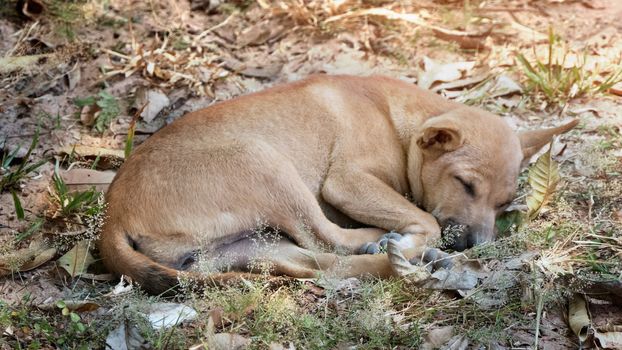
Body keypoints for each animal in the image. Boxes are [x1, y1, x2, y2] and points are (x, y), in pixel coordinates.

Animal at [98, 75, 580, 294]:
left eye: (504, 204)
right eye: (465, 184)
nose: (480, 246)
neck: (393, 117)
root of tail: (112, 217)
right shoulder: (347, 182)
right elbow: (426, 219)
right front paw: (411, 236)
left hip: (247, 246)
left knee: (321, 265)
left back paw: (401, 261)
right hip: (267, 165)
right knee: (327, 238)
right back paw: (397, 248)